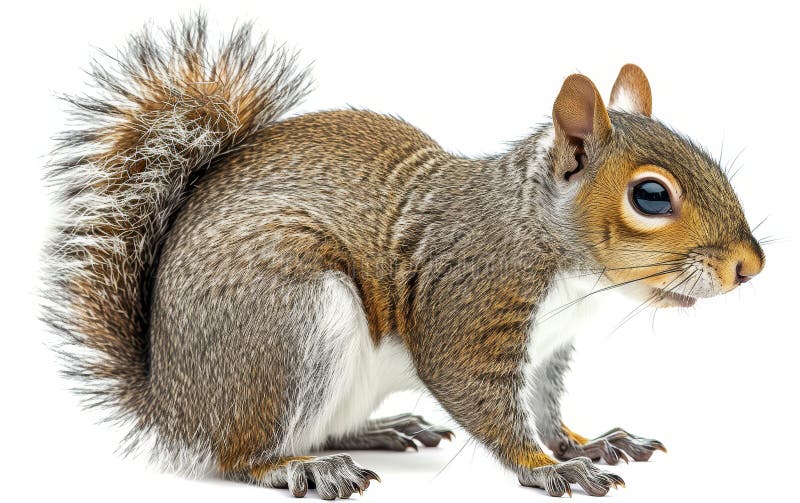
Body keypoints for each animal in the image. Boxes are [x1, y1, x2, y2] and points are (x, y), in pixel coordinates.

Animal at [42, 13, 764, 502]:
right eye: (650, 195)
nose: (750, 267)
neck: (554, 251)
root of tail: (170, 402)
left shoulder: (546, 349)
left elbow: (544, 407)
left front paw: (586, 442)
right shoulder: (471, 306)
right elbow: (484, 400)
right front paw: (549, 467)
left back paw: (380, 431)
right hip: (287, 329)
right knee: (238, 455)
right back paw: (300, 466)